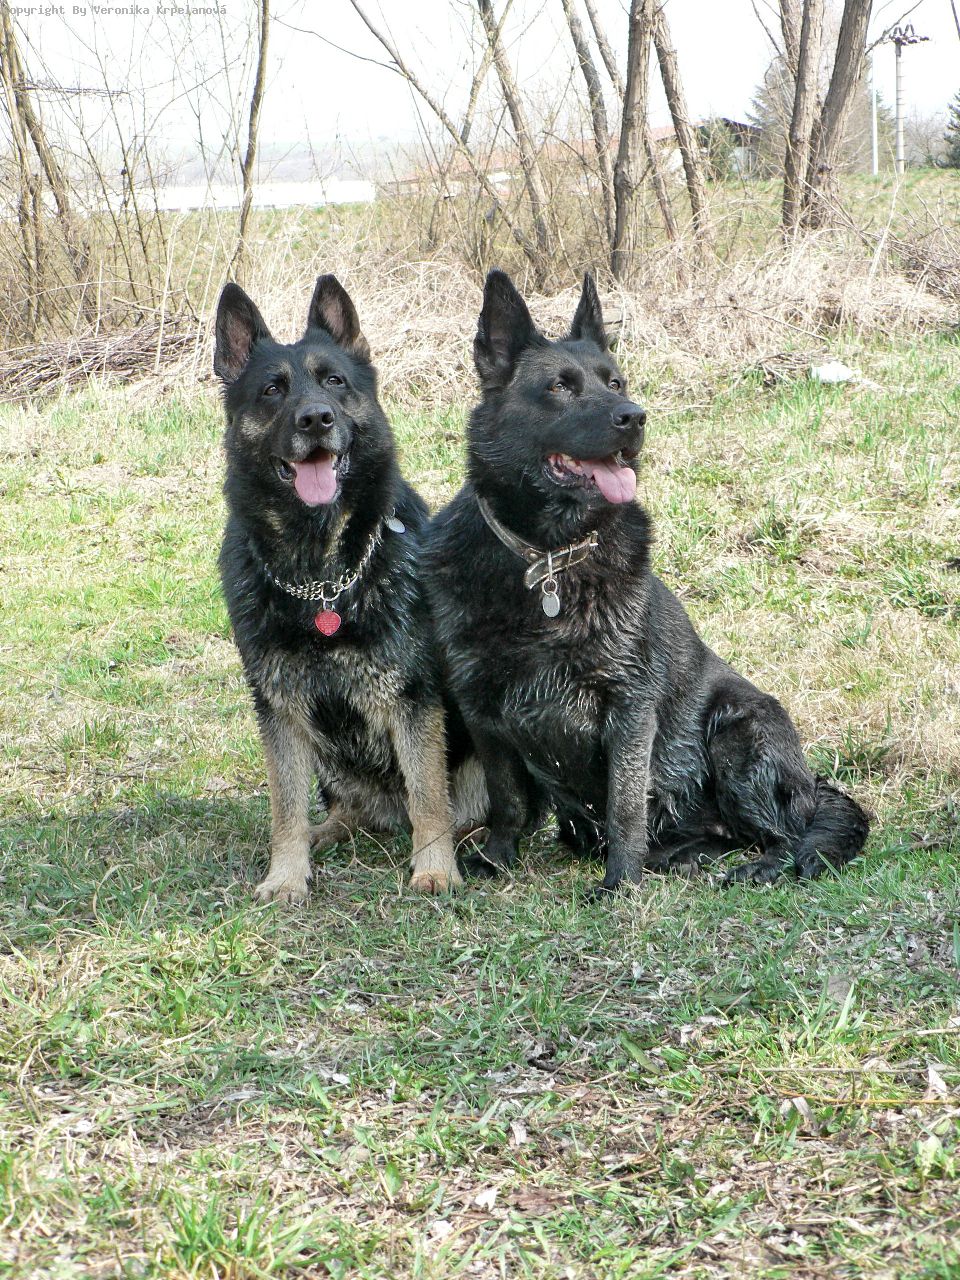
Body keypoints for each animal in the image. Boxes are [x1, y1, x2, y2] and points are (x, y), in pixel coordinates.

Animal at [214, 276, 483, 902]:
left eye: (334, 381)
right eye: (272, 390)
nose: (315, 419)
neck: (321, 579)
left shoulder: (413, 699)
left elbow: (429, 795)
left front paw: (435, 868)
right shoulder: (279, 709)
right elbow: (284, 806)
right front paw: (286, 874)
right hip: (331, 765)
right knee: (344, 810)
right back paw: (327, 833)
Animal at [422, 269, 870, 893]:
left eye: (616, 382)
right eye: (560, 387)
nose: (634, 416)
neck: (550, 559)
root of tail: (809, 781)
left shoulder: (630, 709)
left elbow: (625, 804)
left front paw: (620, 881)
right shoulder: (481, 706)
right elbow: (507, 800)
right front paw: (498, 858)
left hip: (738, 734)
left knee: (786, 831)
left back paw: (760, 864)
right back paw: (684, 855)